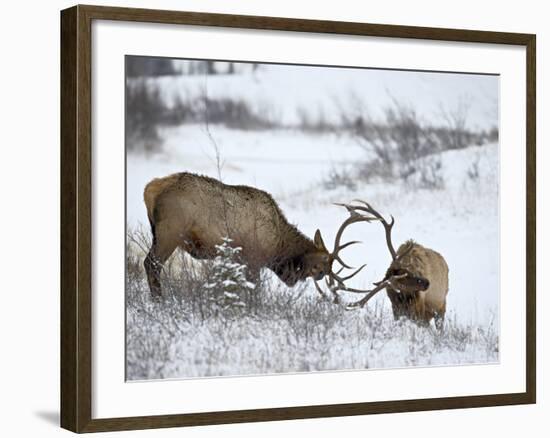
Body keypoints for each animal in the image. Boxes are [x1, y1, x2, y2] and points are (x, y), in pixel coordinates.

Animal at [143, 173, 376, 296]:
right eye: (323, 262)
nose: (320, 275)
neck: (279, 245)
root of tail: (151, 188)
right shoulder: (253, 259)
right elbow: (254, 289)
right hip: (170, 232)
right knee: (151, 263)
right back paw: (159, 300)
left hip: (157, 232)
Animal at [316, 201, 450, 328]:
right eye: (402, 280)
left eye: (410, 272)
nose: (427, 282)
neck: (404, 301)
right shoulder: (397, 311)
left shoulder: (420, 314)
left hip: (441, 308)